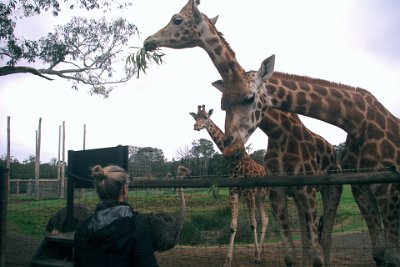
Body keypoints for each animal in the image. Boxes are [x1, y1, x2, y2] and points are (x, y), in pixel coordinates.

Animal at [144, 1, 340, 266]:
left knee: (318, 232)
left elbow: (256, 224)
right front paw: (229, 259)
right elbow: (235, 226)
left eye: (176, 19)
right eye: (196, 118)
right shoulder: (240, 191)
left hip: (323, 188)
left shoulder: (268, 190)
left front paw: (255, 256)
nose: (148, 41)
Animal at [219, 53, 400, 266]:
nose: (229, 146)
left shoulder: (387, 189)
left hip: (333, 189)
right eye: (222, 104)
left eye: (249, 98)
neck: (358, 123)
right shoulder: (359, 189)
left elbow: (391, 257)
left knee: (326, 237)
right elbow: (378, 253)